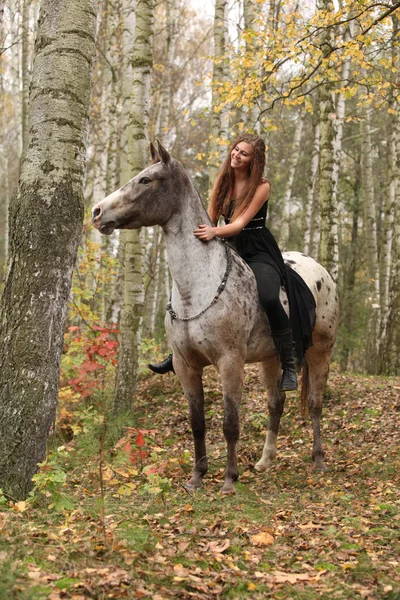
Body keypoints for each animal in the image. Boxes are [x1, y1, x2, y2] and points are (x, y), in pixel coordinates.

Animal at [92, 143, 340, 494]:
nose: (97, 212)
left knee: (316, 404)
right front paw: (197, 477)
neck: (197, 287)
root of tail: (320, 271)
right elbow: (198, 423)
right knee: (275, 403)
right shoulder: (186, 366)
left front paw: (229, 480)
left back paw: (318, 461)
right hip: (272, 359)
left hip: (320, 352)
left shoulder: (229, 363)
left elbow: (230, 423)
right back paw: (265, 461)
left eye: (146, 180)